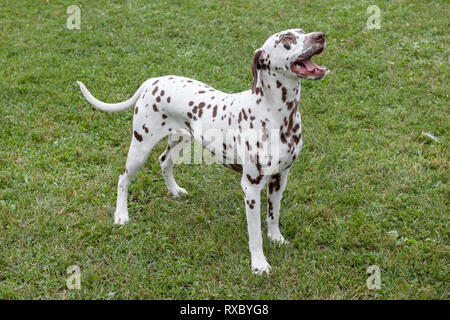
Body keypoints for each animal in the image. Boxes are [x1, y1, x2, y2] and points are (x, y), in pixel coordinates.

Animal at [75, 29, 326, 276]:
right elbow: (255, 235)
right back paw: (121, 215)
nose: (321, 35)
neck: (276, 115)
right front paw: (259, 264)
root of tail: (153, 81)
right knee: (123, 179)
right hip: (140, 148)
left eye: (302, 31)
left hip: (179, 140)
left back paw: (174, 190)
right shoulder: (251, 187)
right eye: (287, 39)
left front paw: (276, 239)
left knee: (164, 162)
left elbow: (273, 216)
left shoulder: (280, 177)